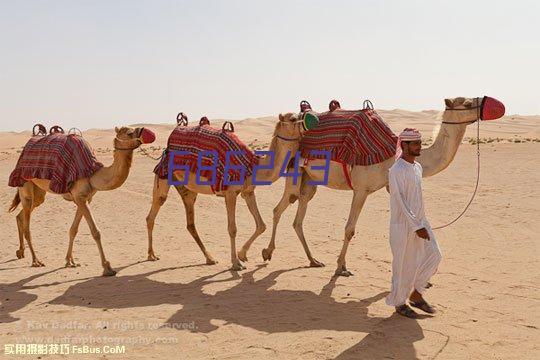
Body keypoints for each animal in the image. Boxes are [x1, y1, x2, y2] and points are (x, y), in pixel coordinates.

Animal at [8, 126, 156, 276]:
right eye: (129, 133)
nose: (146, 131)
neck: (93, 174)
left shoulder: (85, 198)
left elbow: (73, 229)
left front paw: (70, 261)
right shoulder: (79, 197)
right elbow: (95, 232)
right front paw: (107, 267)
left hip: (38, 193)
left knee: (21, 215)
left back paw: (20, 252)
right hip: (24, 184)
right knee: (27, 224)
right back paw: (36, 261)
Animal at [146, 113, 310, 270]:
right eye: (293, 118)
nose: (308, 121)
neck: (253, 166)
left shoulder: (248, 192)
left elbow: (261, 225)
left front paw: (243, 254)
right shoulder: (231, 193)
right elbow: (232, 229)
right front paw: (236, 263)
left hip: (187, 189)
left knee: (190, 223)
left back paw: (210, 258)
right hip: (164, 175)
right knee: (153, 211)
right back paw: (151, 255)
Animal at [260, 95, 504, 276]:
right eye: (467, 103)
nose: (492, 103)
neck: (391, 154)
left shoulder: (389, 187)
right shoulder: (361, 189)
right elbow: (350, 229)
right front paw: (341, 267)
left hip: (309, 180)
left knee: (298, 217)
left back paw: (313, 260)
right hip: (294, 171)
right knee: (280, 207)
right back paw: (267, 252)